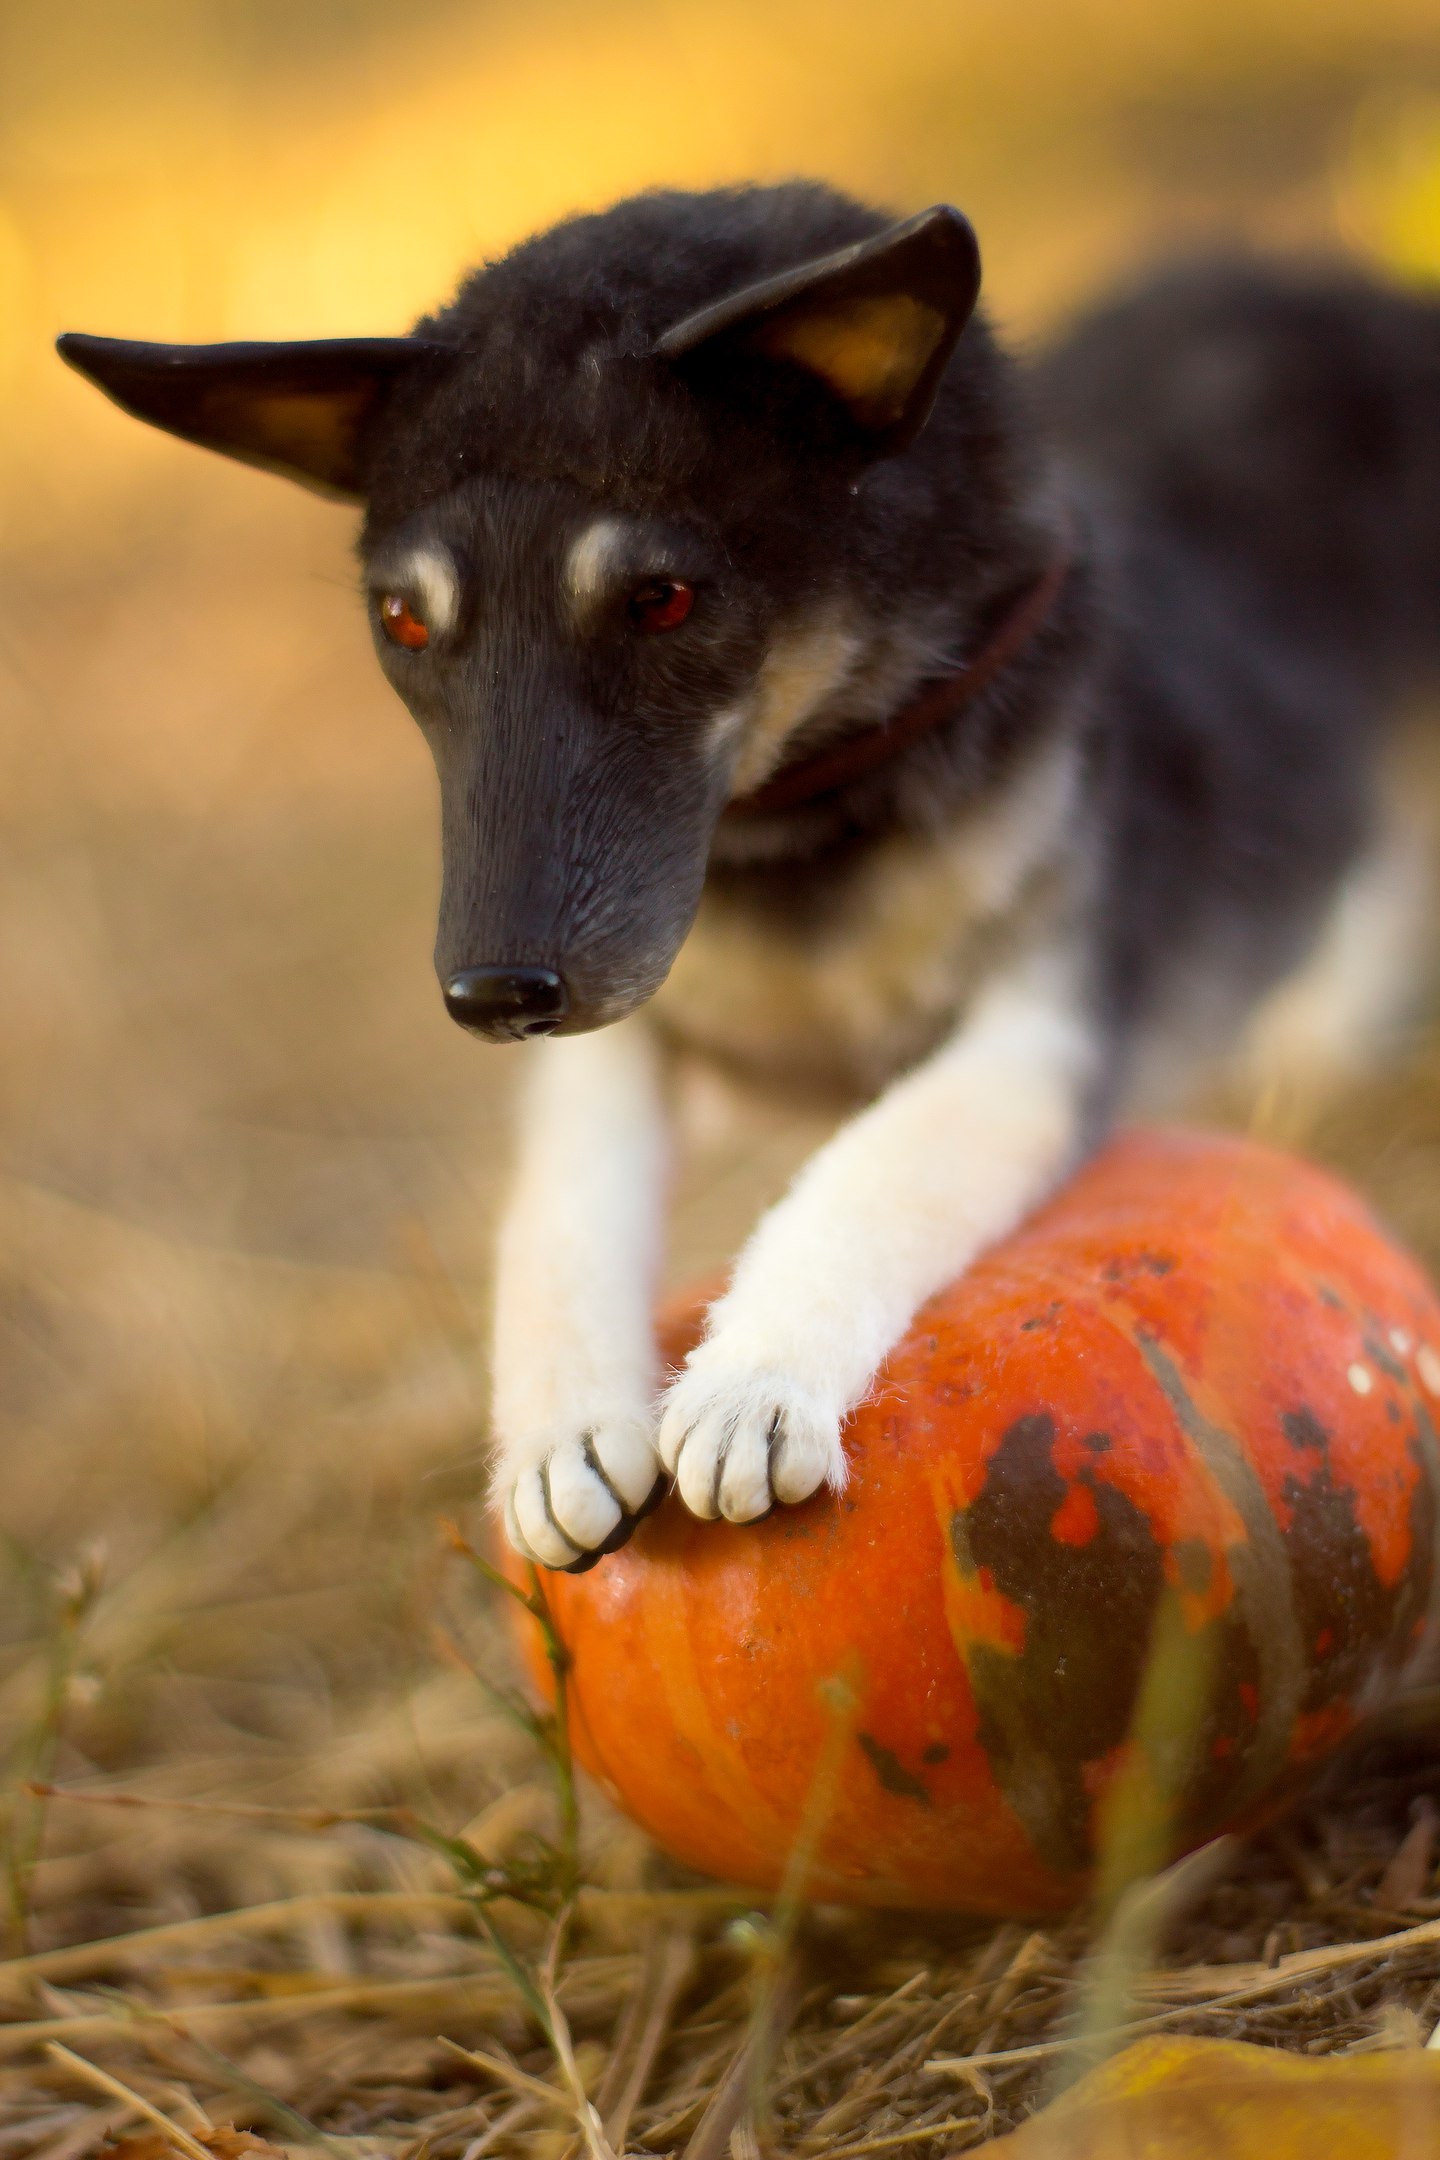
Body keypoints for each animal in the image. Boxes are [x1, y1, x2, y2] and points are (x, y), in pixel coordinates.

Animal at [62, 185, 1440, 1572]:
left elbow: (879, 1166)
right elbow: (559, 1218)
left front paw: (757, 1378)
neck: (804, 822)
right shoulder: (622, 1042)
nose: (491, 998)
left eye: (661, 600)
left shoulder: (1044, 1032)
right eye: (404, 622)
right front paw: (559, 1432)